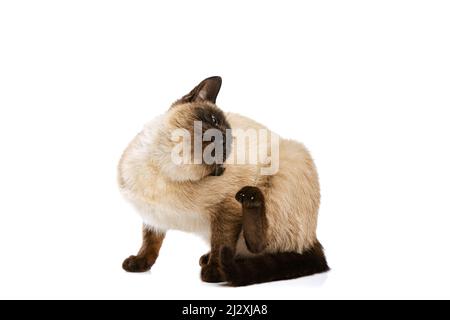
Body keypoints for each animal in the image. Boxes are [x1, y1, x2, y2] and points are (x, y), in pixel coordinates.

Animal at [116, 76, 328, 286]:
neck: (163, 170)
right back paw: (207, 258)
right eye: (213, 120)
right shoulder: (153, 217)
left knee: (260, 245)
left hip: (289, 157)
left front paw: (214, 272)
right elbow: (150, 242)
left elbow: (221, 243)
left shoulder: (226, 210)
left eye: (226, 149)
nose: (222, 140)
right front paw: (140, 263)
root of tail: (314, 237)